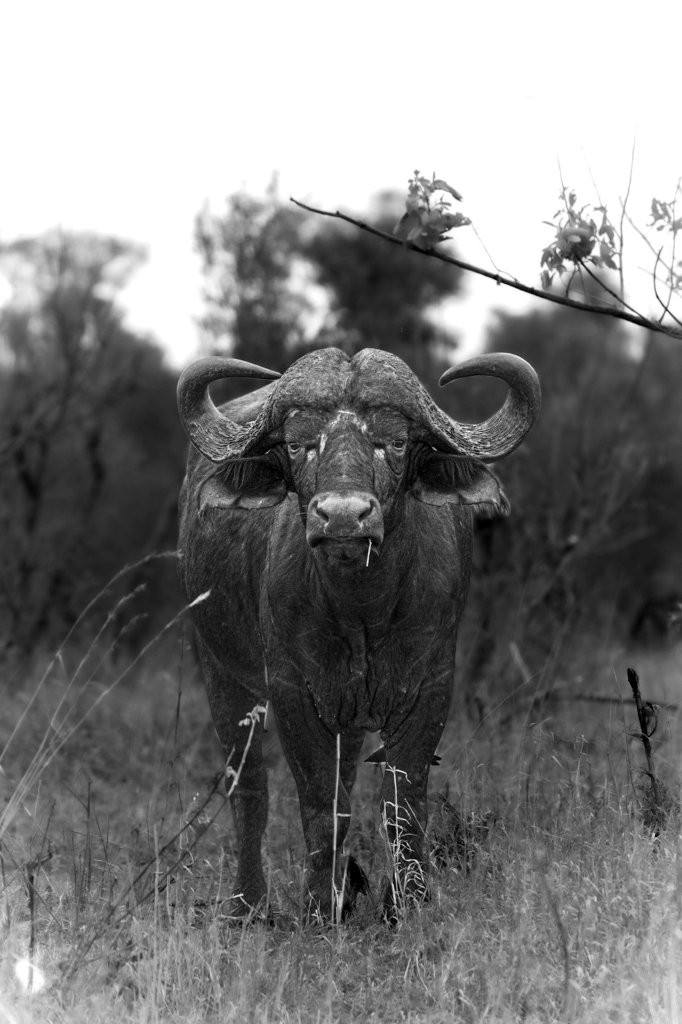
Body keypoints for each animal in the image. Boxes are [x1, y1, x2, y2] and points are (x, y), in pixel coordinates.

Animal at [177, 346, 540, 919]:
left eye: (395, 442)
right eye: (299, 445)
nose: (344, 516)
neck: (362, 612)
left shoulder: (430, 688)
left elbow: (403, 806)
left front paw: (407, 903)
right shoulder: (292, 692)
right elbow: (321, 804)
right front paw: (319, 909)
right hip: (219, 671)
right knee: (249, 787)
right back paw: (247, 904)